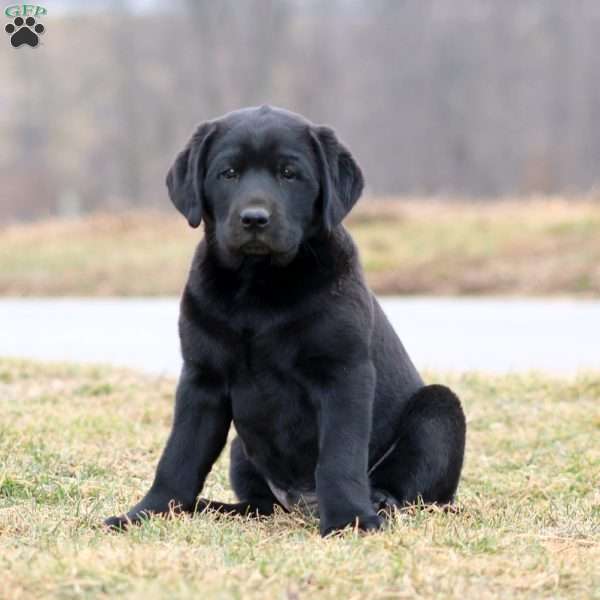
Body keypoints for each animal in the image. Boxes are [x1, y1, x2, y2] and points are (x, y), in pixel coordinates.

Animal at [105, 105, 466, 536]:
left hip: (440, 410)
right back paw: (211, 507)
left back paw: (379, 501)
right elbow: (179, 456)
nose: (254, 219)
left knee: (412, 486)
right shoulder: (202, 378)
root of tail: (301, 503)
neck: (257, 286)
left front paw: (349, 520)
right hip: (242, 451)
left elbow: (339, 456)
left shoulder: (344, 373)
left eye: (290, 174)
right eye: (228, 173)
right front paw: (147, 512)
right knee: (258, 505)